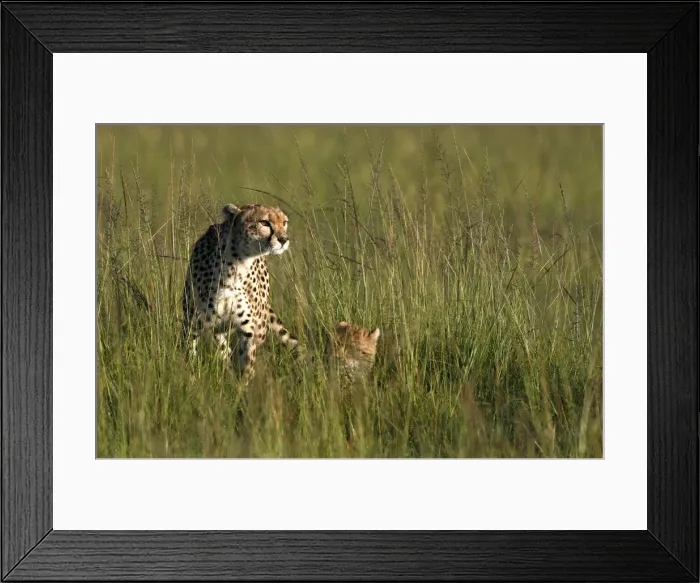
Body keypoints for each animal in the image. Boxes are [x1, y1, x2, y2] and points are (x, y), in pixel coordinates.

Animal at [181, 203, 298, 379]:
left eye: (284, 223)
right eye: (264, 223)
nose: (284, 240)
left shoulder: (248, 331)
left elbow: (247, 365)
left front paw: (242, 384)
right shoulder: (192, 324)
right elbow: (189, 356)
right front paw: (192, 378)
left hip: (259, 328)